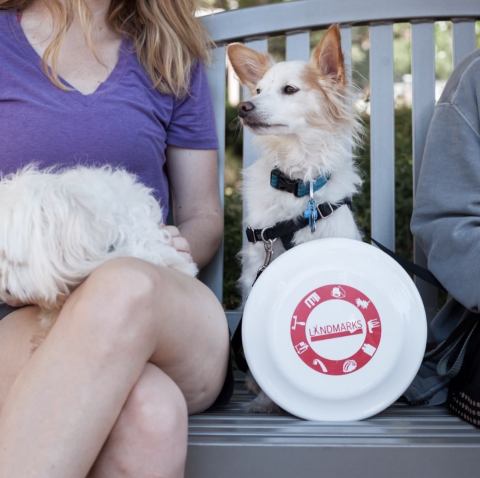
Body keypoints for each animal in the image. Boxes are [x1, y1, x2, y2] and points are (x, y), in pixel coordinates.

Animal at [229, 24, 364, 412]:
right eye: (258, 90)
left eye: (290, 90)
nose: (243, 106)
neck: (297, 188)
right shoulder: (257, 264)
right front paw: (266, 400)